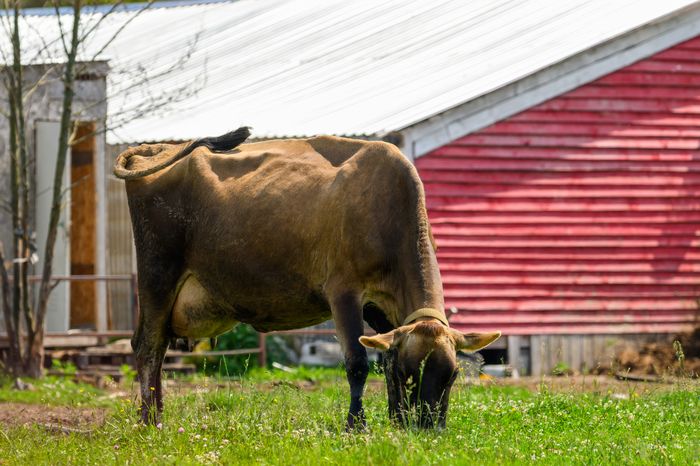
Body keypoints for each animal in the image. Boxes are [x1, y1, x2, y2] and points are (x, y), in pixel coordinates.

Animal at [113, 127, 500, 429]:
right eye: (411, 374)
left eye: (452, 375)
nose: (429, 429)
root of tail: (156, 149)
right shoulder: (343, 291)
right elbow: (358, 363)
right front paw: (356, 426)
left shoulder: (382, 306)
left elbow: (385, 357)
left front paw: (395, 422)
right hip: (158, 275)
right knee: (148, 348)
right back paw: (152, 424)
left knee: (158, 349)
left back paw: (157, 416)